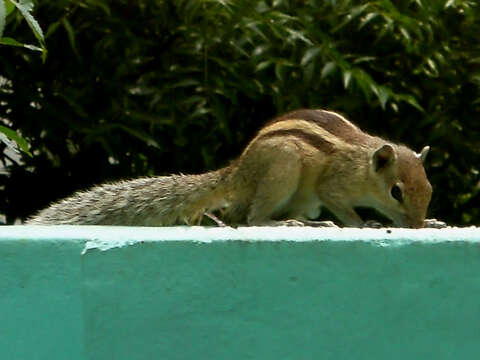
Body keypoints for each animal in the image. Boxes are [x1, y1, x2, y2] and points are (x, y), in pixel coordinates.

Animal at [26, 109, 442, 228]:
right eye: (396, 192)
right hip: (283, 170)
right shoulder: (334, 185)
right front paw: (365, 223)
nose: (417, 226)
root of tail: (237, 172)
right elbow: (344, 206)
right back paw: (285, 224)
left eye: (430, 191)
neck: (363, 165)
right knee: (252, 219)